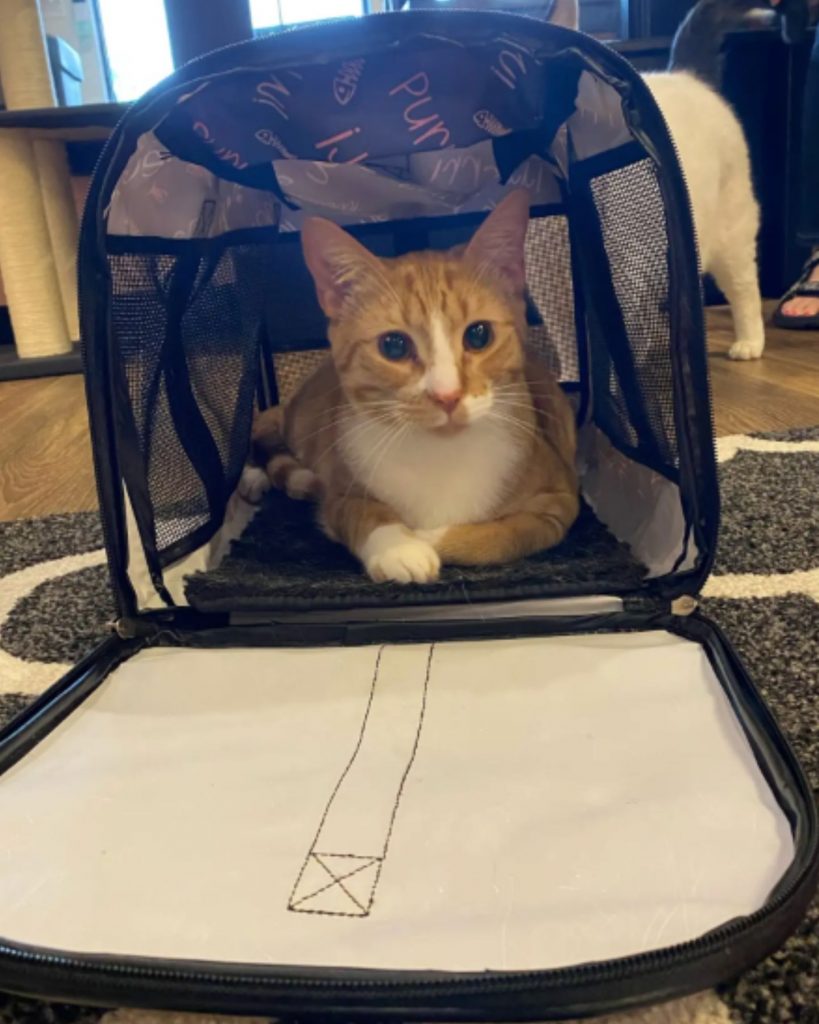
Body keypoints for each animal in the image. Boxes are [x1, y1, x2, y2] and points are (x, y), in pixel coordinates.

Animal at [246, 191, 577, 585]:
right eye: (394, 346)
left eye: (479, 335)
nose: (447, 396)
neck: (442, 456)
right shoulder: (340, 491)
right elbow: (359, 510)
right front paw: (398, 546)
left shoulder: (559, 502)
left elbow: (502, 536)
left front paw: (427, 537)